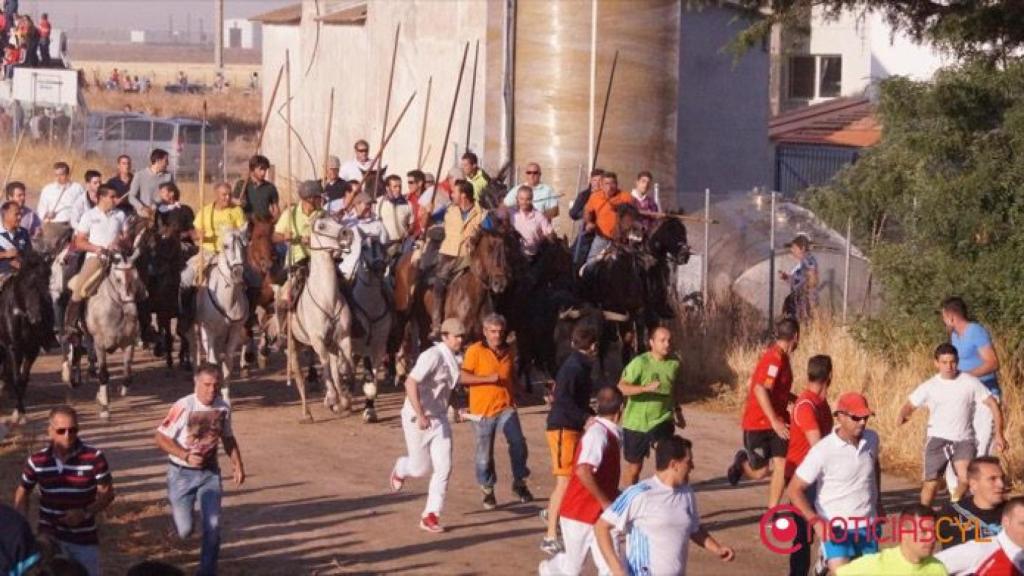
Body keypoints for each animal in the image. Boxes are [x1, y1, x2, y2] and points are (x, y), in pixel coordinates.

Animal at [0, 251, 57, 422]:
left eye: (46, 283)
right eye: (26, 285)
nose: (37, 319)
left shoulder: (32, 350)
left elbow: (24, 379)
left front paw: (21, 411)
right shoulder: (13, 348)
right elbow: (17, 378)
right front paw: (18, 413)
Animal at [185, 228, 248, 399]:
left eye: (245, 245)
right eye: (226, 246)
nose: (238, 273)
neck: (227, 301)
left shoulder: (234, 331)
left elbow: (227, 363)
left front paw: (225, 396)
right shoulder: (208, 331)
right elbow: (211, 362)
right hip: (192, 328)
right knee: (194, 350)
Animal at [286, 215, 354, 422]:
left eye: (337, 219)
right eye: (322, 225)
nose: (348, 233)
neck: (327, 299)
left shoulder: (343, 337)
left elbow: (344, 364)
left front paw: (343, 399)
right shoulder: (317, 340)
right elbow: (324, 363)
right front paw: (332, 397)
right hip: (293, 347)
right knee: (300, 379)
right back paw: (307, 413)